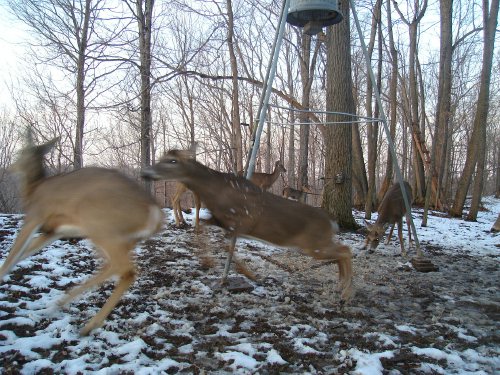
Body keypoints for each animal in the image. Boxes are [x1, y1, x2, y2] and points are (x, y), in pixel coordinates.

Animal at [0, 137, 163, 336]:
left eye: (21, 152)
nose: (9, 168)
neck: (34, 189)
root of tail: (154, 212)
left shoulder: (35, 216)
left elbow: (14, 253)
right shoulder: (53, 232)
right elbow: (23, 253)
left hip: (102, 228)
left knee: (125, 270)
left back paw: (88, 324)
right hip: (121, 239)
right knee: (112, 267)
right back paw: (62, 305)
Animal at [143, 148, 354, 302]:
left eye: (172, 160)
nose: (146, 172)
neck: (216, 192)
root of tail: (331, 222)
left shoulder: (241, 222)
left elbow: (227, 245)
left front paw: (248, 273)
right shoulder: (221, 221)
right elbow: (206, 230)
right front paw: (209, 262)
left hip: (313, 244)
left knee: (345, 250)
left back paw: (345, 293)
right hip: (316, 243)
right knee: (342, 251)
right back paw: (340, 287)